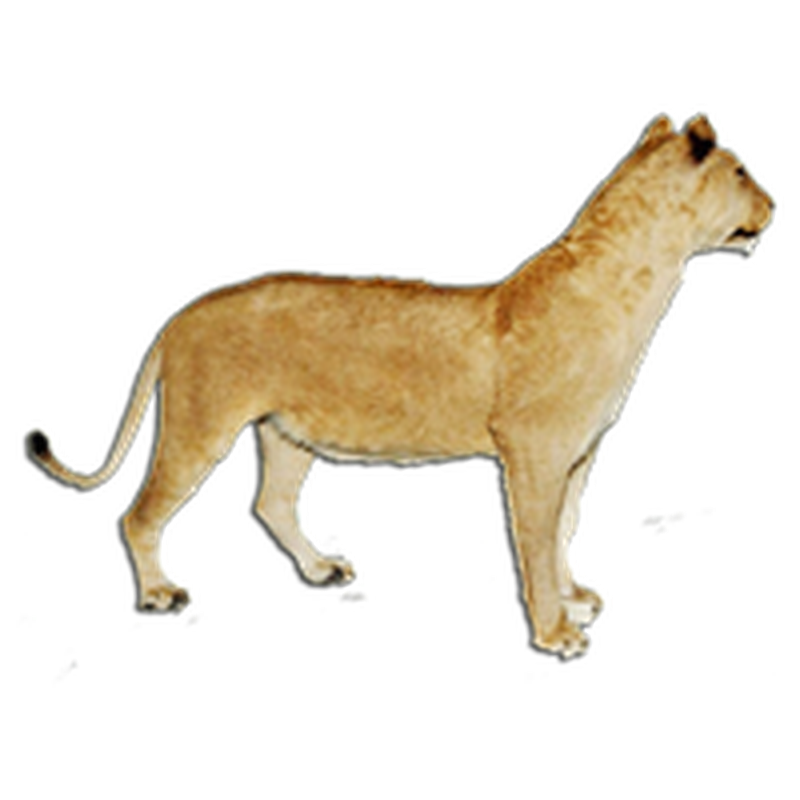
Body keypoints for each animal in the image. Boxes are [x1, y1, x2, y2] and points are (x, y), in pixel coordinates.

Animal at [26, 112, 775, 659]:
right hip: (202, 422)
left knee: (271, 503)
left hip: (289, 432)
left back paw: (324, 570)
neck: (640, 275)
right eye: (741, 171)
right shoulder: (533, 453)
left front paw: (576, 596)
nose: (776, 203)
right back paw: (161, 594)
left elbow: (566, 529)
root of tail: (181, 314)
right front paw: (555, 632)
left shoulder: (580, 451)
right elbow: (537, 542)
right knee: (141, 512)